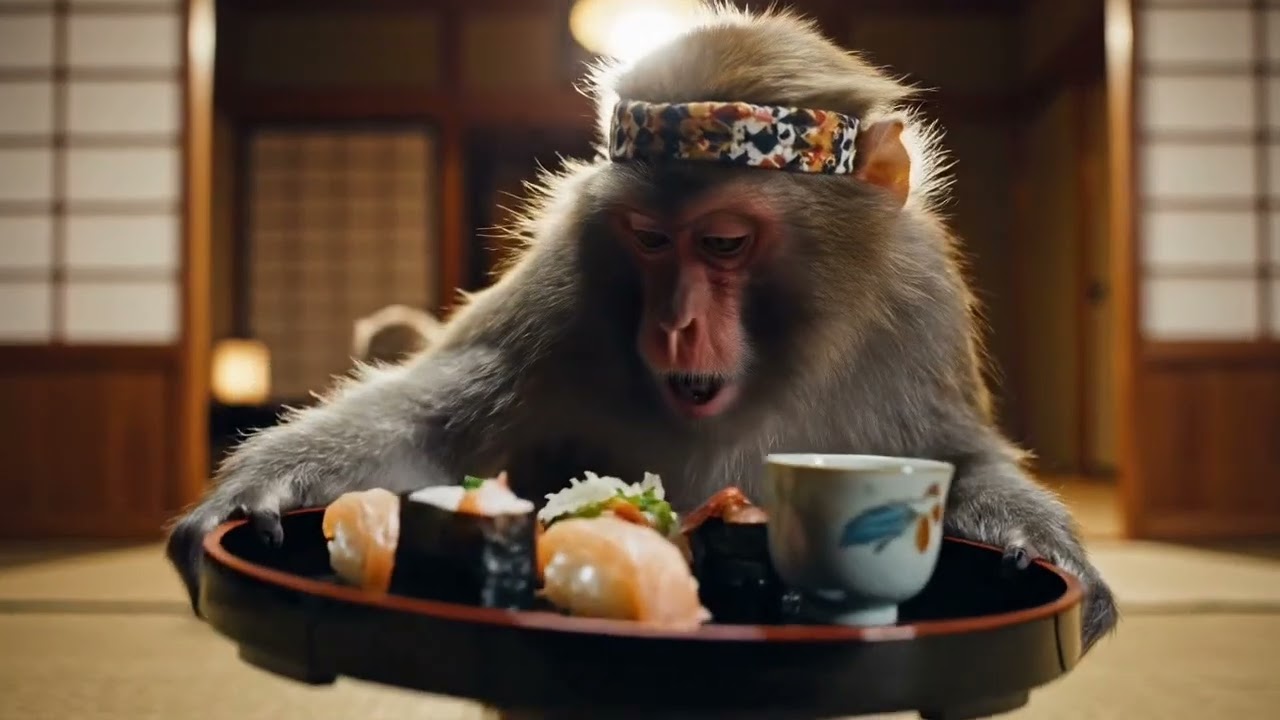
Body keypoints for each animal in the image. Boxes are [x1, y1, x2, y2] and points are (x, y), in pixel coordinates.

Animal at [166, 5, 1118, 653]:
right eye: (651, 240)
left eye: (725, 242)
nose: (676, 323)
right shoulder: (567, 280)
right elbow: (432, 431)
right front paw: (253, 496)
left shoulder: (921, 302)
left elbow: (957, 459)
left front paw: (1041, 552)